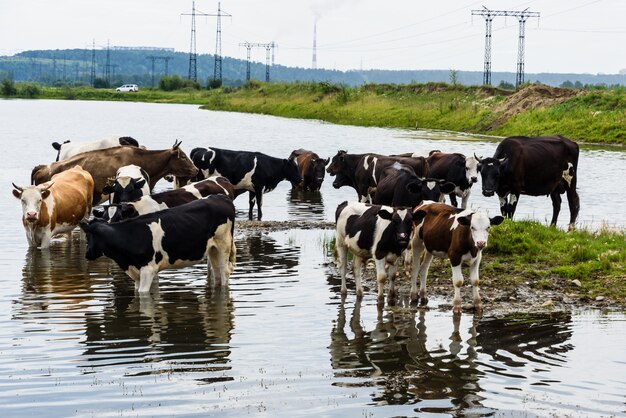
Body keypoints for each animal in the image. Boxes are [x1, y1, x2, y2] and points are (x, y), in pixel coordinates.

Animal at [78, 195, 234, 294]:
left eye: (88, 235)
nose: (87, 253)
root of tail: (220, 197)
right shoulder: (136, 273)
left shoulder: (148, 270)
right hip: (213, 249)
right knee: (217, 273)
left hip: (224, 245)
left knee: (224, 271)